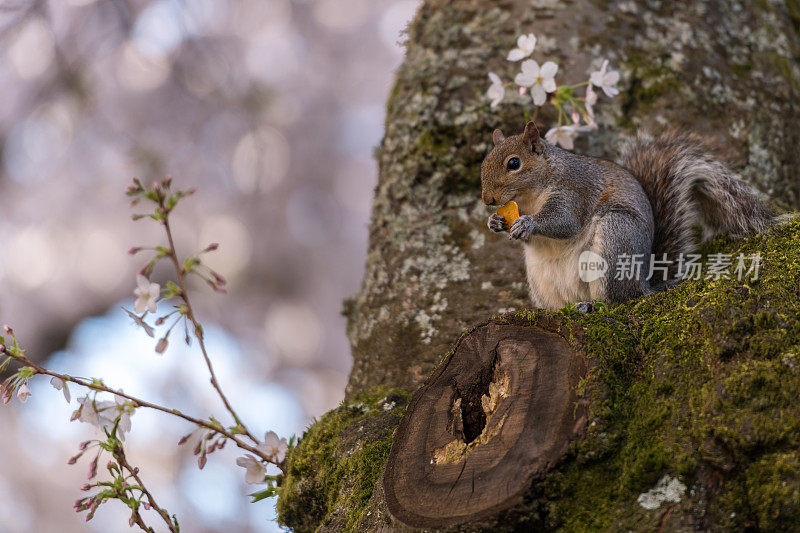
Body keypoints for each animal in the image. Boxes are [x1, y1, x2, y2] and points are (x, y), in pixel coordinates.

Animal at [482, 122, 776, 310]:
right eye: (484, 162)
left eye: (514, 163)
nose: (488, 200)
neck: (529, 197)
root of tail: (644, 286)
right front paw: (495, 222)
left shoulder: (573, 192)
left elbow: (564, 222)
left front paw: (528, 223)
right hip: (542, 281)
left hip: (616, 237)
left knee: (617, 301)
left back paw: (592, 305)